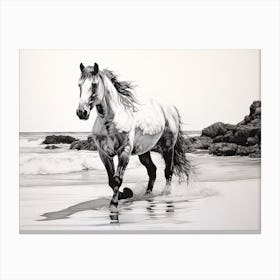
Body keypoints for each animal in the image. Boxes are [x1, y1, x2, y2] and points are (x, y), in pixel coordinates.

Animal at [76, 63, 190, 208]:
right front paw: (126, 194)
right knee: (152, 170)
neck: (110, 121)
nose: (81, 112)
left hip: (168, 147)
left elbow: (117, 179)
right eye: (79, 84)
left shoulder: (124, 151)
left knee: (168, 171)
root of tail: (170, 107)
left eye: (94, 84)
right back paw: (147, 195)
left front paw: (114, 203)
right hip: (144, 151)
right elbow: (111, 180)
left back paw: (166, 194)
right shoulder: (104, 154)